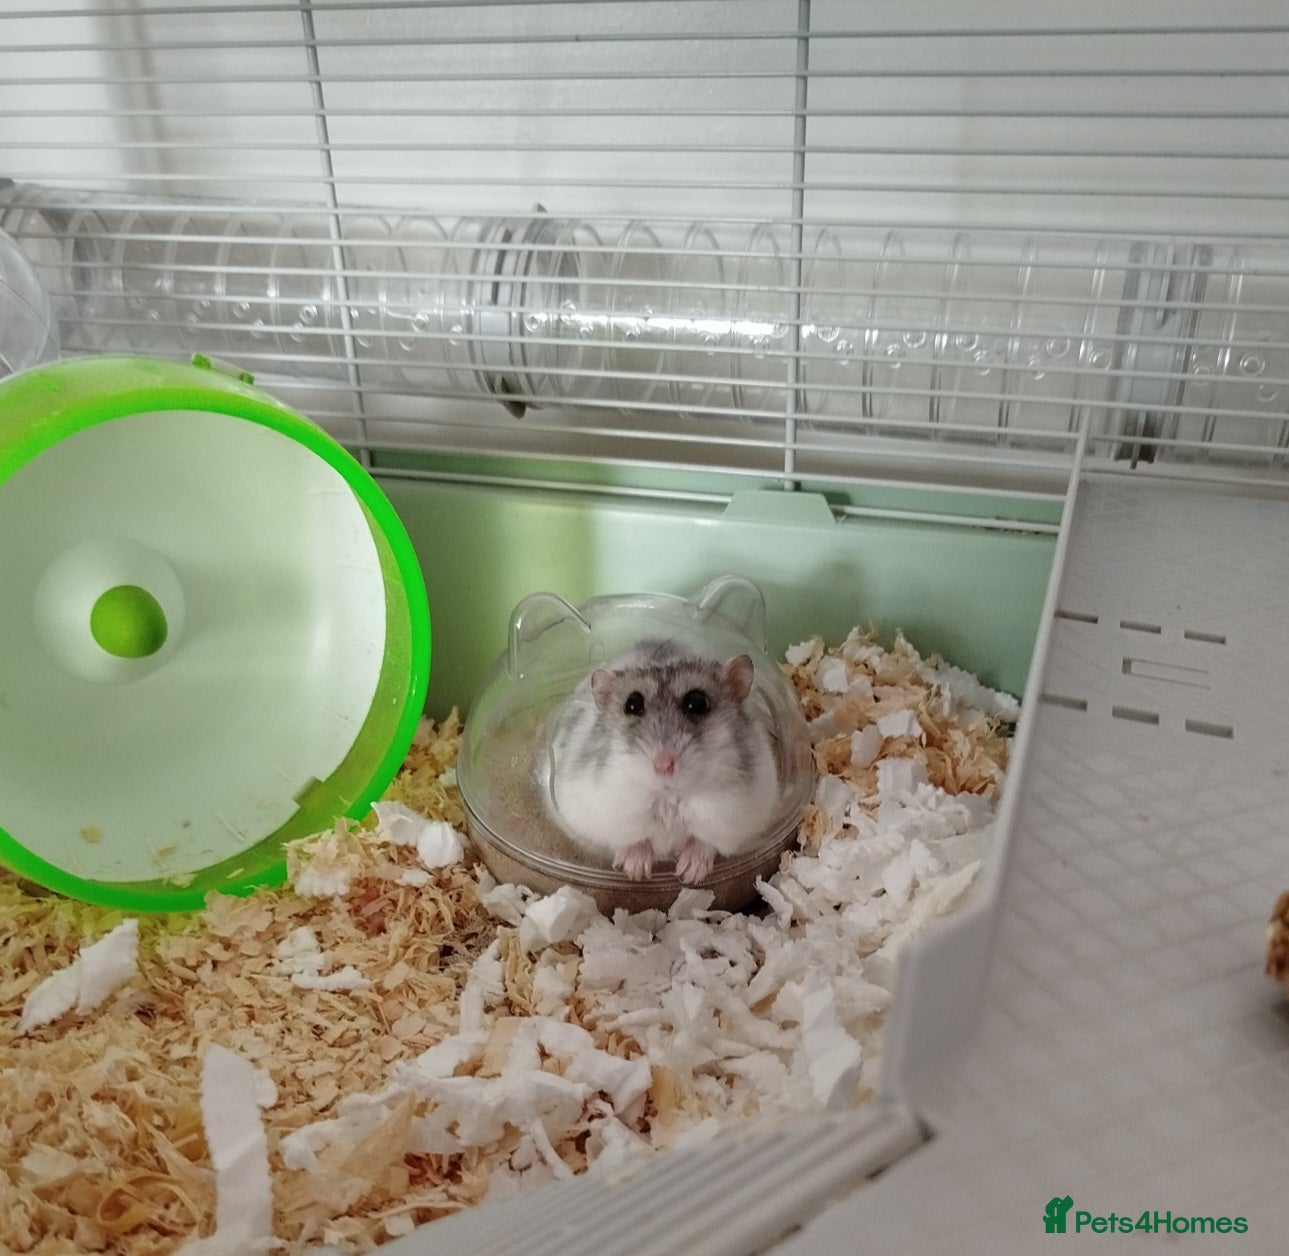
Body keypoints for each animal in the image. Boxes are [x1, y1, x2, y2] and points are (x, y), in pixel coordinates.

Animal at [540, 637, 782, 884]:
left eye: (698, 703)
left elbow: (704, 841)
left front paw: (689, 873)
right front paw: (636, 871)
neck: (668, 797)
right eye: (632, 704)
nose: (663, 765)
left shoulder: (735, 818)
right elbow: (633, 840)